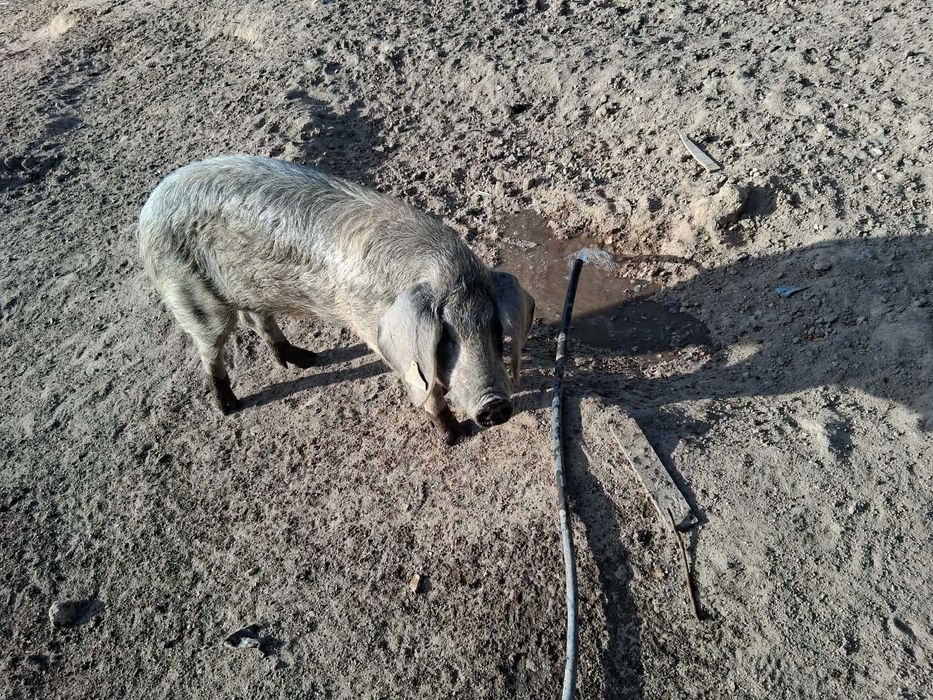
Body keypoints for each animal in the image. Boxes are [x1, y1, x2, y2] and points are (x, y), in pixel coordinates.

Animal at [138, 155, 535, 443]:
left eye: (495, 329)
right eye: (445, 340)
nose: (496, 406)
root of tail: (150, 207)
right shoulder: (381, 338)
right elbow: (426, 392)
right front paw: (453, 437)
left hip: (252, 291)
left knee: (260, 320)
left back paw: (305, 360)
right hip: (191, 296)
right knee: (210, 350)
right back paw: (229, 406)